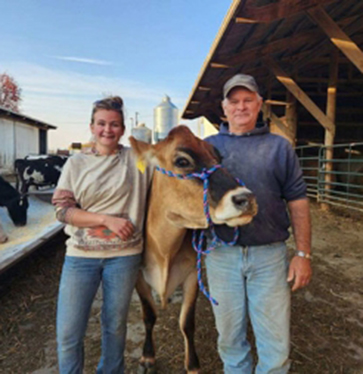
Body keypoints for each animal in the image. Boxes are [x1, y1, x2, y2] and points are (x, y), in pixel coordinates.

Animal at [129, 126, 258, 374]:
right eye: (182, 161)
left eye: (218, 158)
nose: (246, 198)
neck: (164, 251)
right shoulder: (137, 274)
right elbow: (149, 315)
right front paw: (148, 357)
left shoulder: (191, 274)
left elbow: (187, 322)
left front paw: (193, 366)